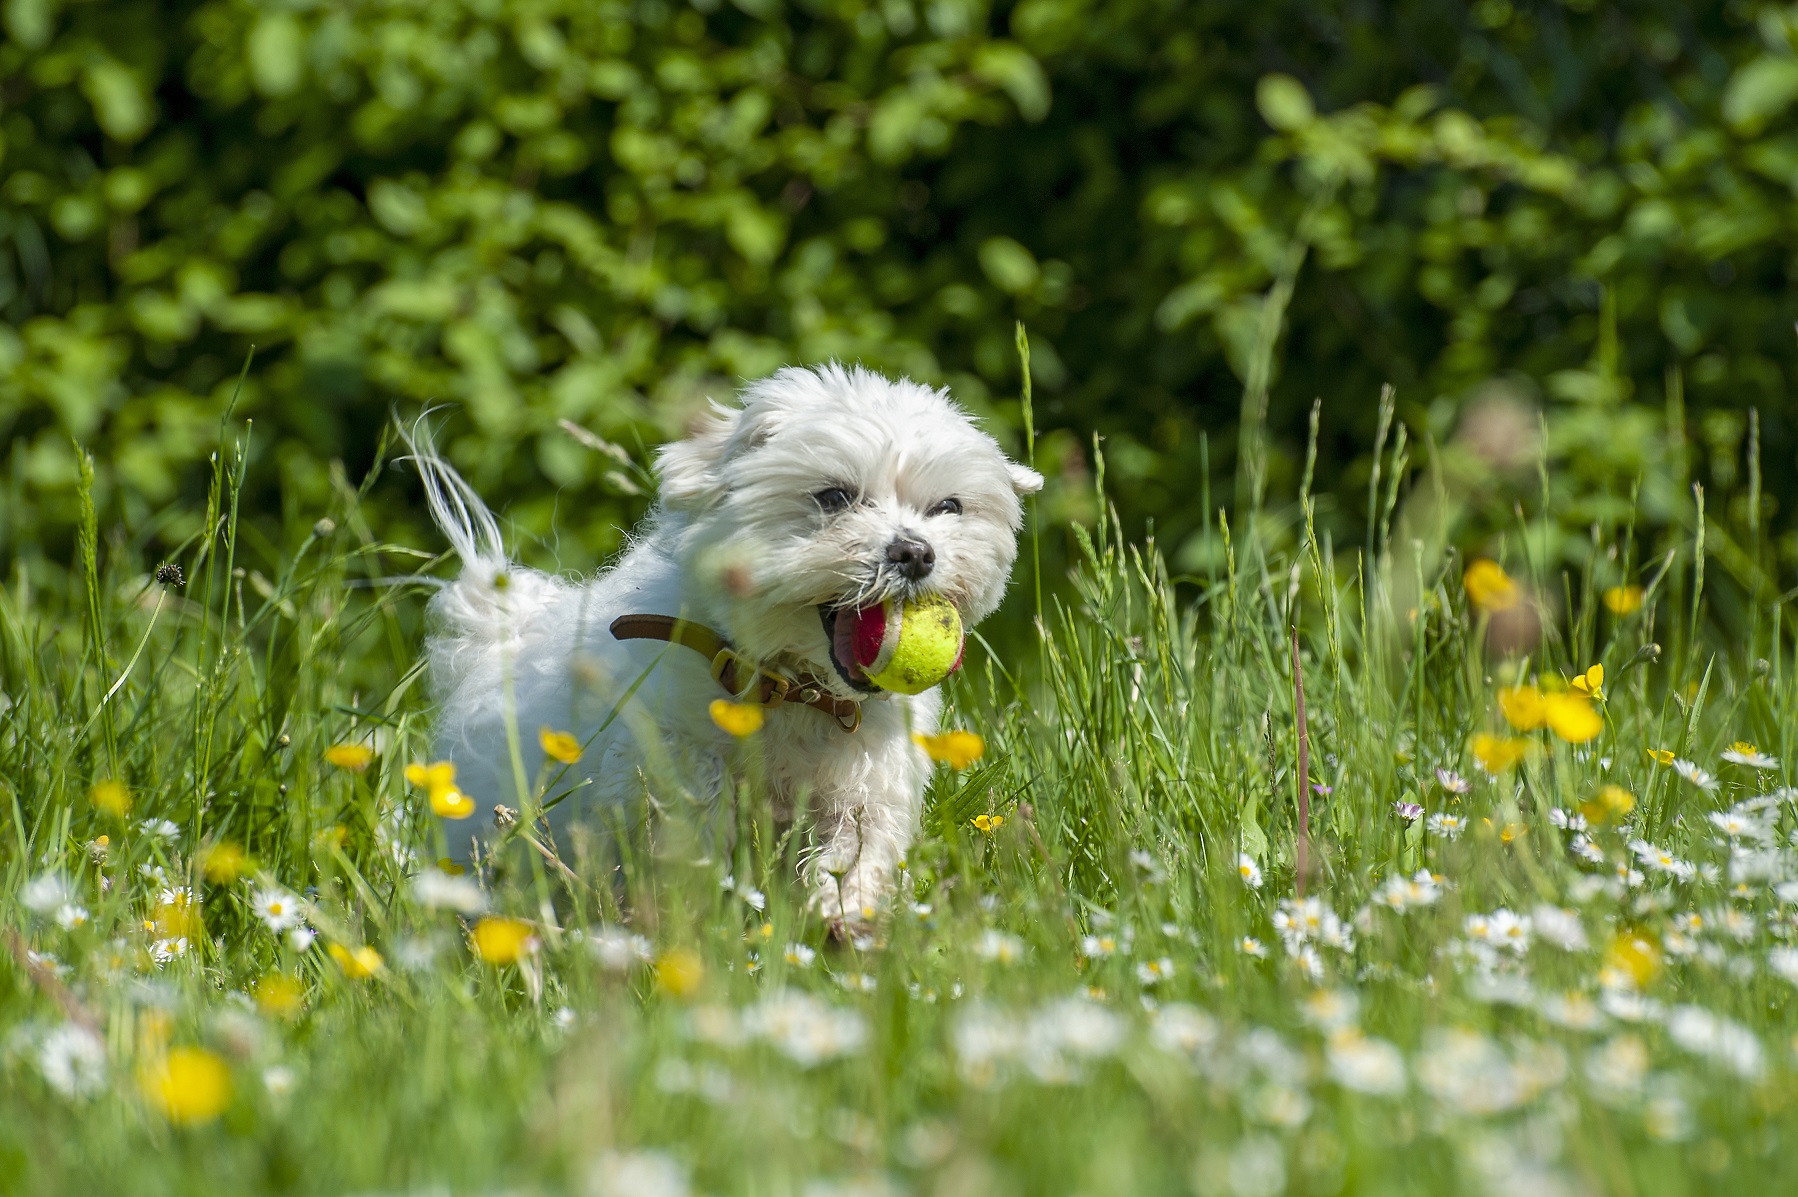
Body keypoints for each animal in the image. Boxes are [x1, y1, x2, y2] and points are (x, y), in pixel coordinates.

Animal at [411, 363, 1042, 920]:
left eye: (947, 507)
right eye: (834, 497)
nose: (914, 552)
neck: (795, 691)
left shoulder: (869, 785)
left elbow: (857, 848)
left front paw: (844, 916)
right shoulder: (662, 742)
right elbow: (691, 801)